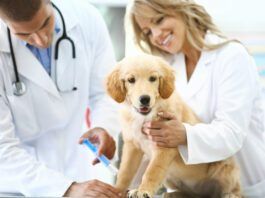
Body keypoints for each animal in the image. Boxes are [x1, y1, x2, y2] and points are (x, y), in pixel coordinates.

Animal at [105, 54, 239, 198]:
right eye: (131, 80)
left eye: (153, 78)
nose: (145, 99)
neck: (145, 117)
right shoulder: (132, 145)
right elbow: (125, 172)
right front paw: (116, 191)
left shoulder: (164, 146)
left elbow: (152, 171)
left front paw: (144, 190)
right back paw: (174, 194)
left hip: (225, 166)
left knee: (236, 189)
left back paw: (230, 194)